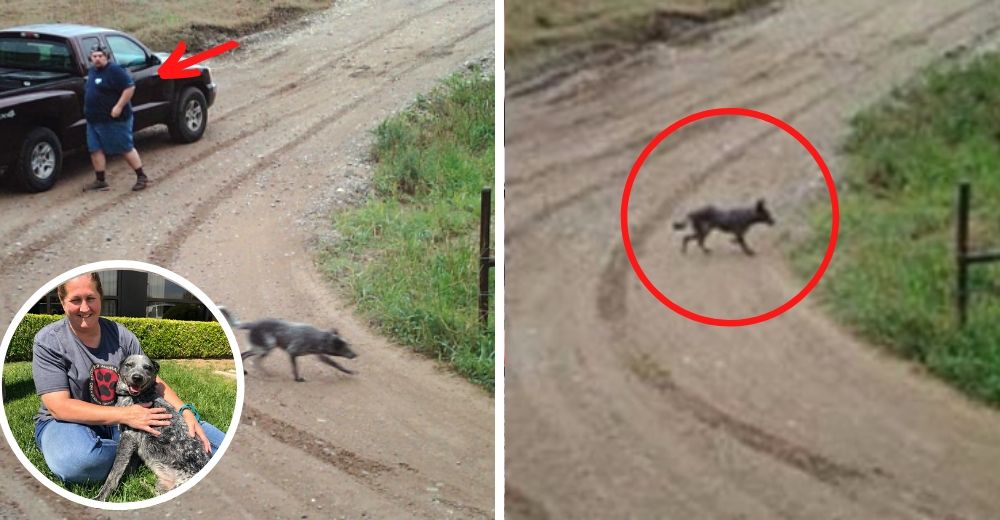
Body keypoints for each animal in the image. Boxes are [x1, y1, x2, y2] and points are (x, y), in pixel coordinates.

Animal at [94, 354, 210, 500]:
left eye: (147, 367)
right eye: (129, 365)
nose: (137, 377)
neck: (136, 397)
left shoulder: (128, 438)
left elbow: (114, 473)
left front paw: (101, 497)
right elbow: (129, 467)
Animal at [218, 304, 356, 382]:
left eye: (349, 346)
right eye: (345, 348)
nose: (355, 354)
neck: (319, 337)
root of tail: (254, 325)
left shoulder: (319, 354)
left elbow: (334, 363)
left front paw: (348, 371)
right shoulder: (293, 351)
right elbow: (295, 367)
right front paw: (297, 378)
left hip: (259, 346)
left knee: (244, 354)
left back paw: (244, 371)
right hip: (267, 345)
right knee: (255, 360)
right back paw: (266, 373)